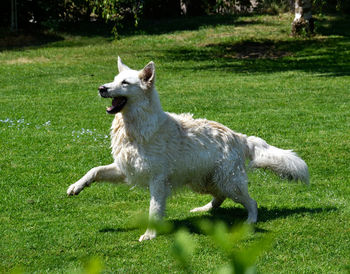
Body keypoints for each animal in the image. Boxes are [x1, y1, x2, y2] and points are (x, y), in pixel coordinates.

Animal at [66, 56, 308, 241]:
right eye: (114, 80)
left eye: (125, 82)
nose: (101, 88)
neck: (134, 128)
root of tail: (239, 137)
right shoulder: (125, 169)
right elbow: (95, 170)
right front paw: (76, 186)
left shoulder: (157, 180)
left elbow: (154, 209)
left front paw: (150, 234)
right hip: (204, 181)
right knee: (219, 198)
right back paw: (203, 210)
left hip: (228, 182)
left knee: (251, 202)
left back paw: (250, 220)